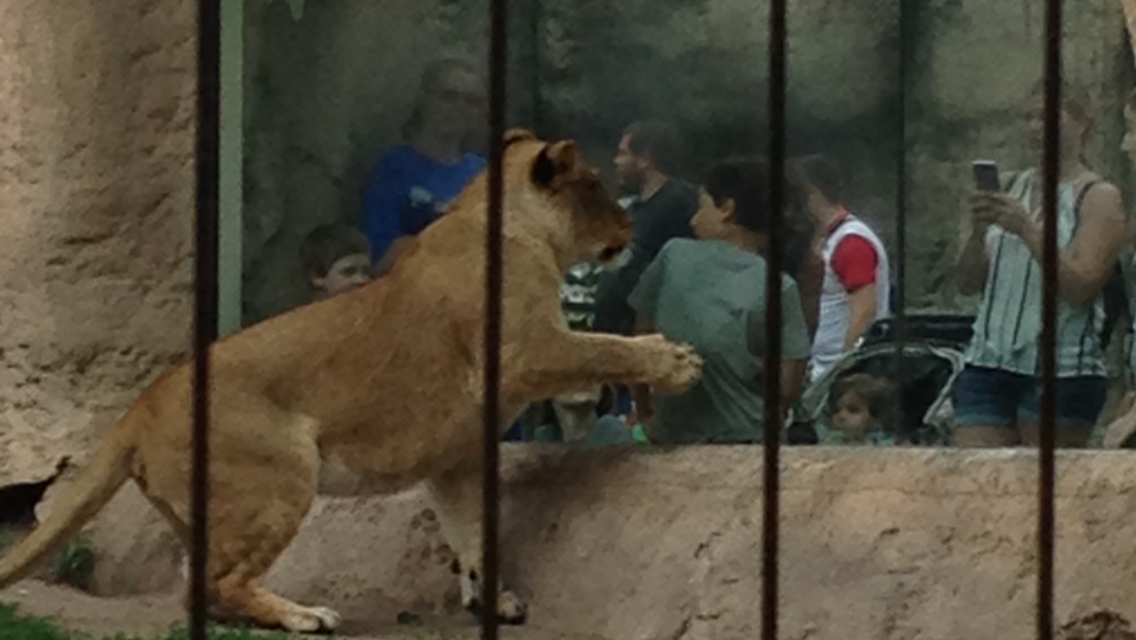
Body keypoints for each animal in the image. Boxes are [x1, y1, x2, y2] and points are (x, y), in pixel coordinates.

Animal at [0, 129, 703, 633]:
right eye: (597, 188)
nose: (632, 230)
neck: (508, 225)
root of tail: (140, 404)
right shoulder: (526, 350)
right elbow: (604, 348)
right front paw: (675, 362)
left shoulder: (455, 457)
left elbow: (472, 530)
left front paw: (490, 598)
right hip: (280, 474)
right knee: (220, 582)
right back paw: (304, 616)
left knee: (196, 584)